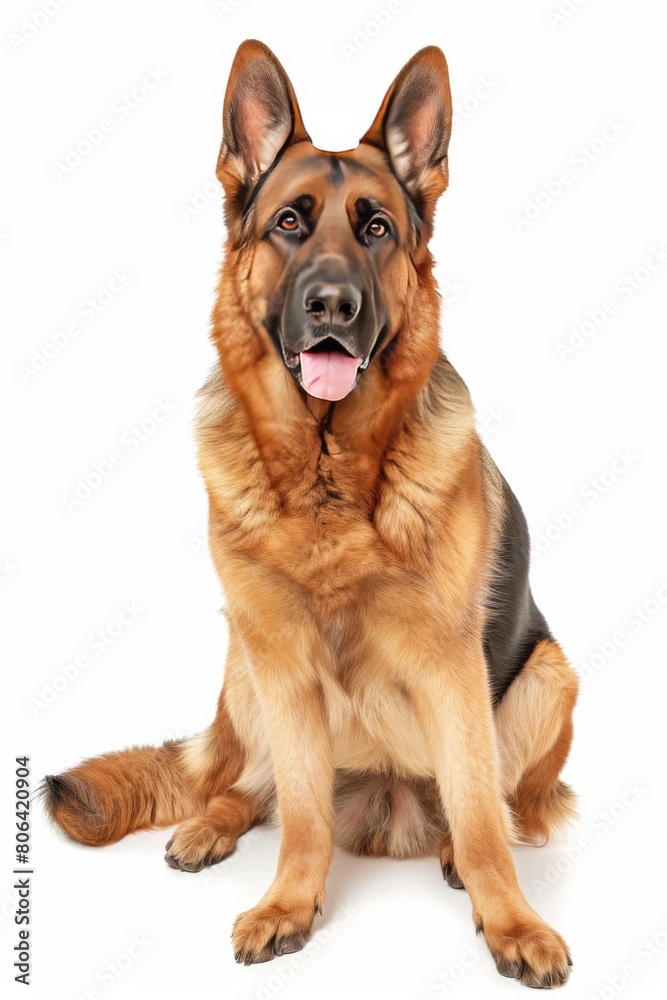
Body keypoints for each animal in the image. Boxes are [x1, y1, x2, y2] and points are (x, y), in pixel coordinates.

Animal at [45, 41, 580, 992]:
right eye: (291, 223)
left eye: (376, 230)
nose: (333, 306)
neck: (327, 476)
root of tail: (386, 801)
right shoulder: (280, 661)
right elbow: (299, 816)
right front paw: (290, 904)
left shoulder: (451, 669)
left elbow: (482, 819)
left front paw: (509, 918)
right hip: (241, 665)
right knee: (248, 787)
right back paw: (210, 824)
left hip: (549, 676)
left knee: (493, 808)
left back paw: (454, 852)